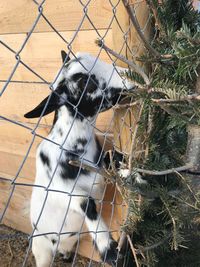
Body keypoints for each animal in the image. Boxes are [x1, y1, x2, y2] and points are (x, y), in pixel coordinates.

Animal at [24, 51, 134, 266]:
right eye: (87, 84)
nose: (131, 77)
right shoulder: (63, 191)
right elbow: (87, 204)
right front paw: (109, 251)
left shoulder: (100, 162)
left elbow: (116, 157)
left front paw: (139, 176)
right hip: (42, 250)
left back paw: (66, 256)